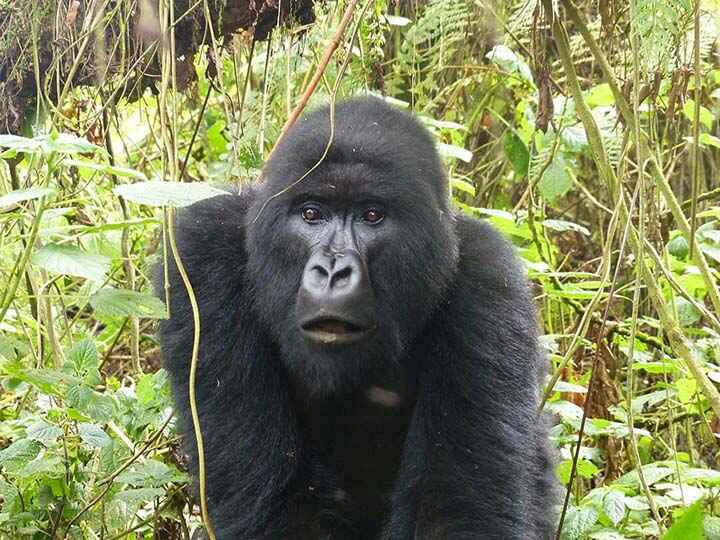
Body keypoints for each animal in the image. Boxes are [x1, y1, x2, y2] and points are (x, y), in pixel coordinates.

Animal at [158, 97, 556, 540]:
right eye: (311, 214)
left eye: (371, 216)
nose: (333, 272)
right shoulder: (202, 255)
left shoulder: (489, 282)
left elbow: (456, 511)